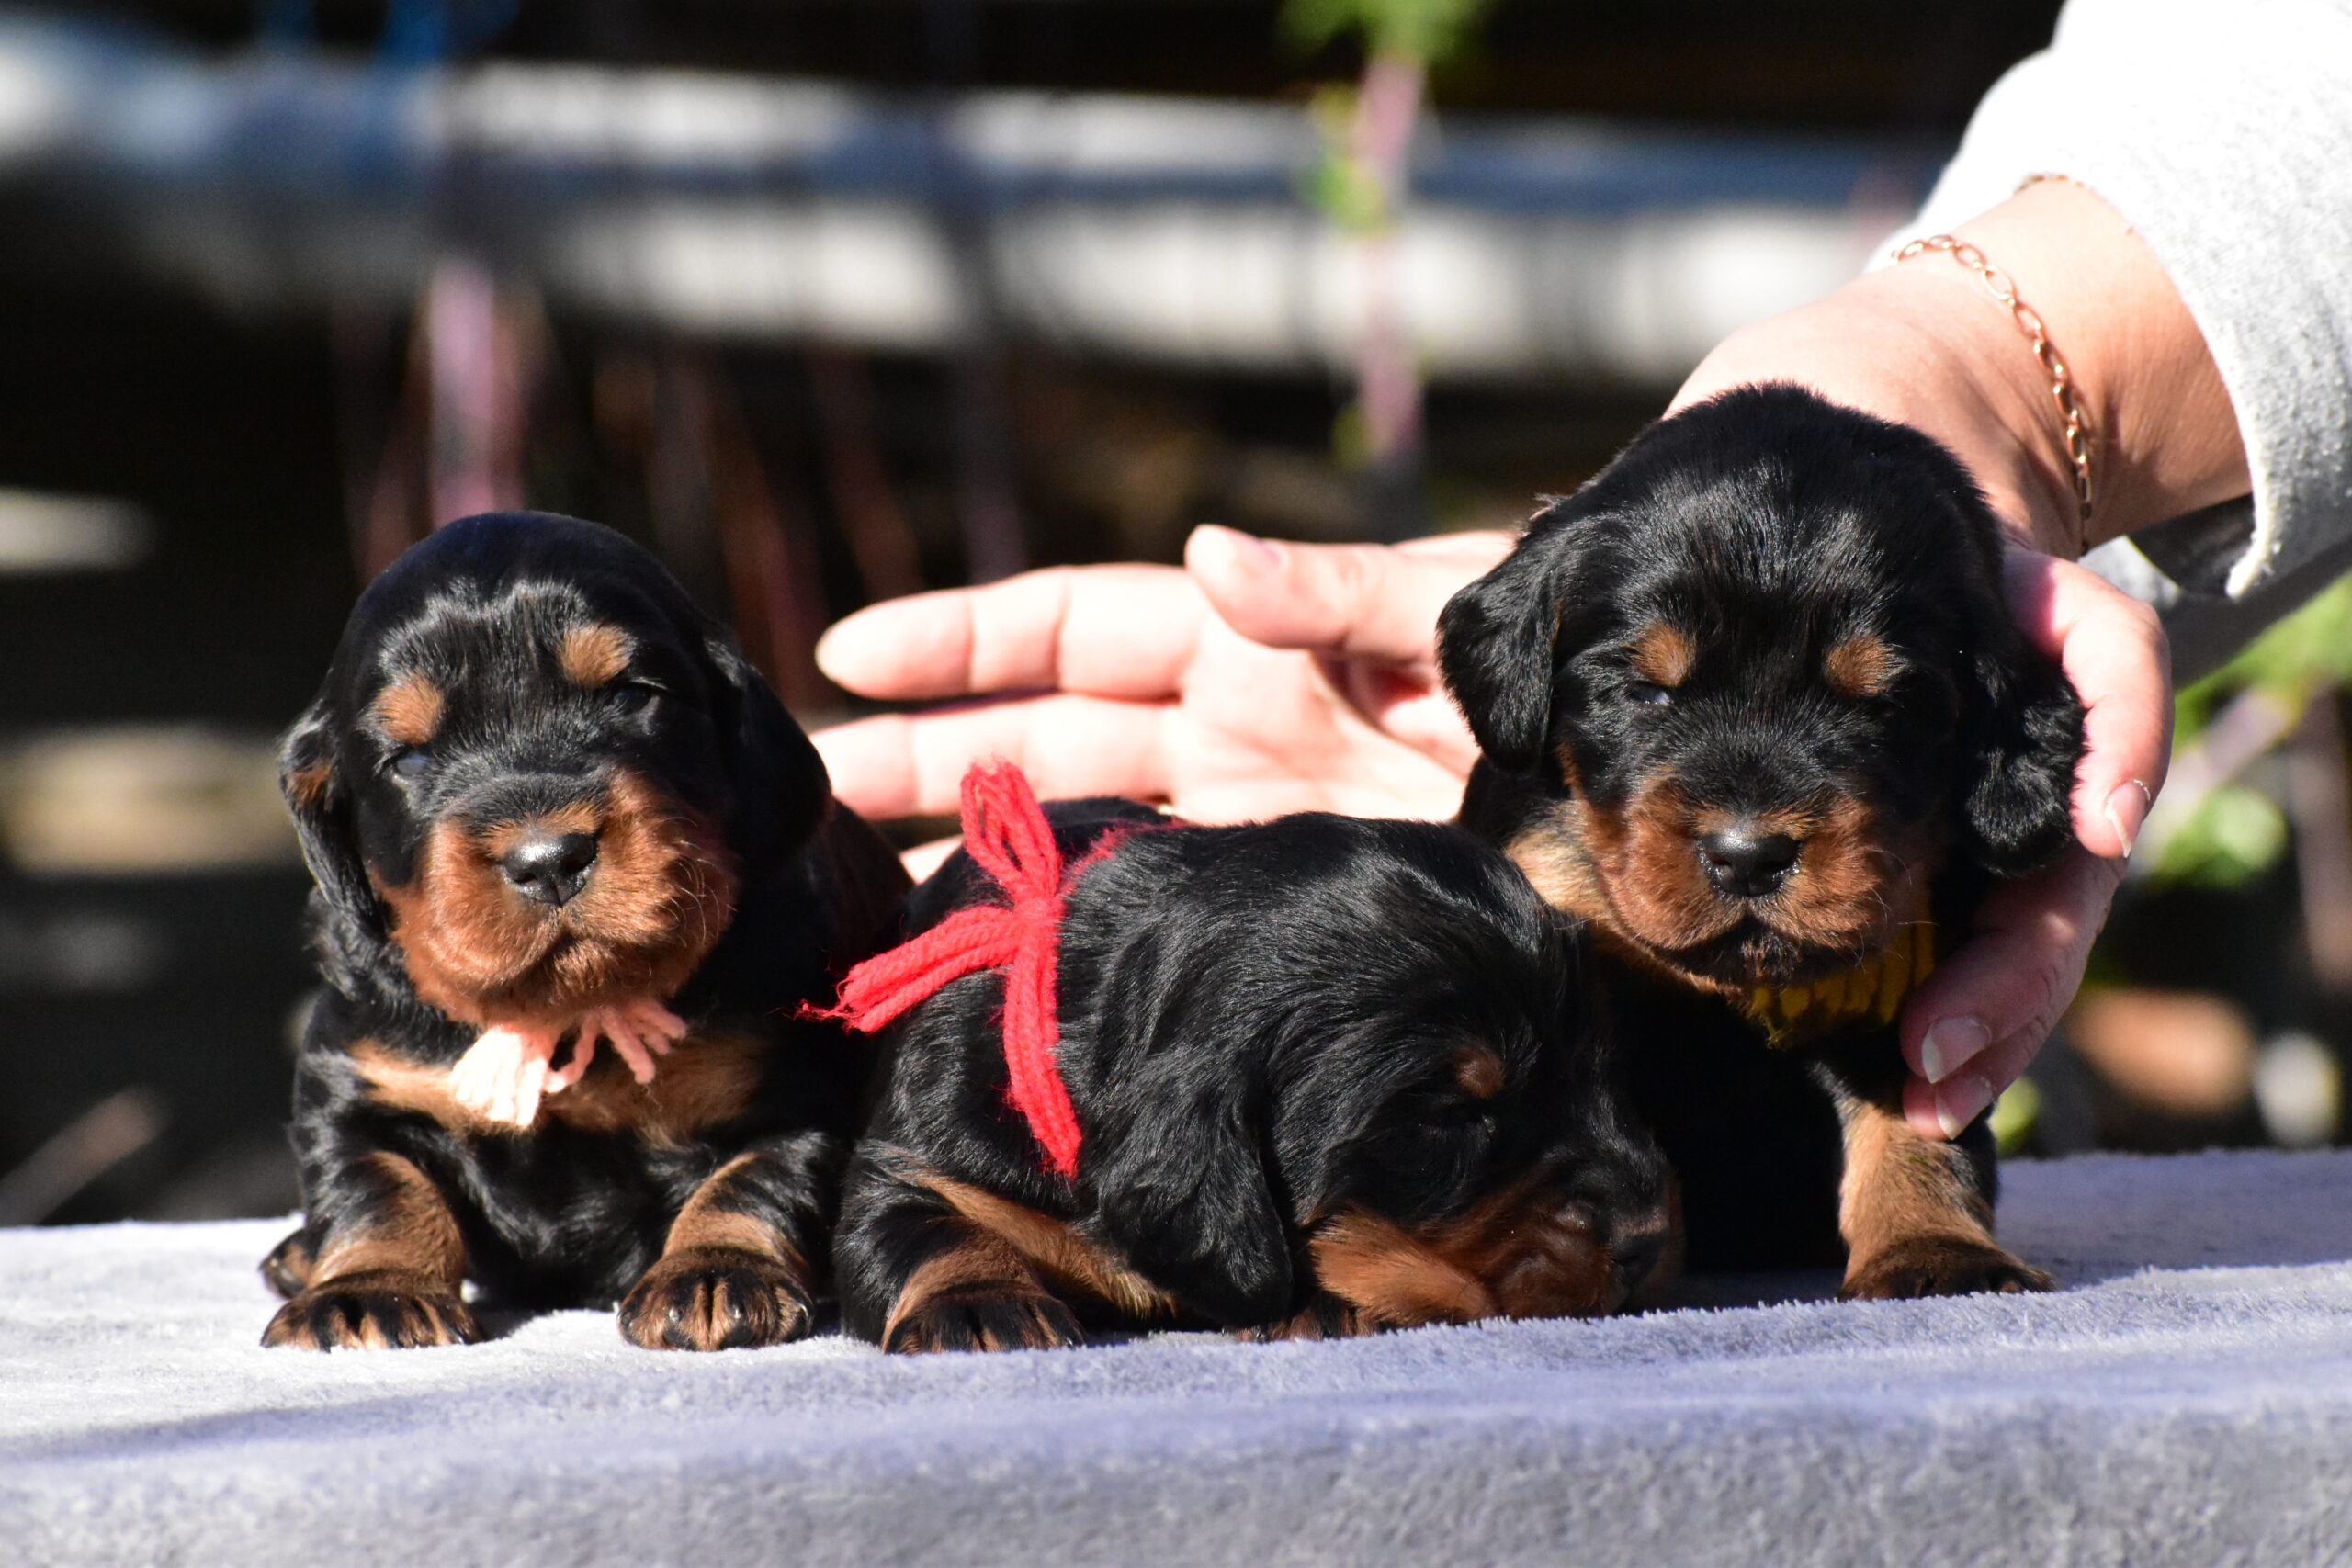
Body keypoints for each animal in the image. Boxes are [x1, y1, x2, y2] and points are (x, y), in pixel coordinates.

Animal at [260, 511, 909, 1350]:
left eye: (631, 695)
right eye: (409, 757)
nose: (548, 859)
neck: (569, 1011)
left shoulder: (793, 1083)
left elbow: (756, 1178)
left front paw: (714, 1271)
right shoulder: (360, 1079)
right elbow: (378, 1186)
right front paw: (367, 1288)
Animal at [830, 770, 1677, 1353]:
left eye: (1601, 1067)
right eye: (1450, 1117)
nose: (1653, 1237)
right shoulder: (918, 1155)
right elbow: (922, 1226)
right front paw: (977, 1303)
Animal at [1436, 385, 2085, 1298]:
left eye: (1884, 704)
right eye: (1644, 691)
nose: (1748, 855)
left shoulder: (1915, 997)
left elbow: (1917, 1127)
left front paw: (1935, 1252)